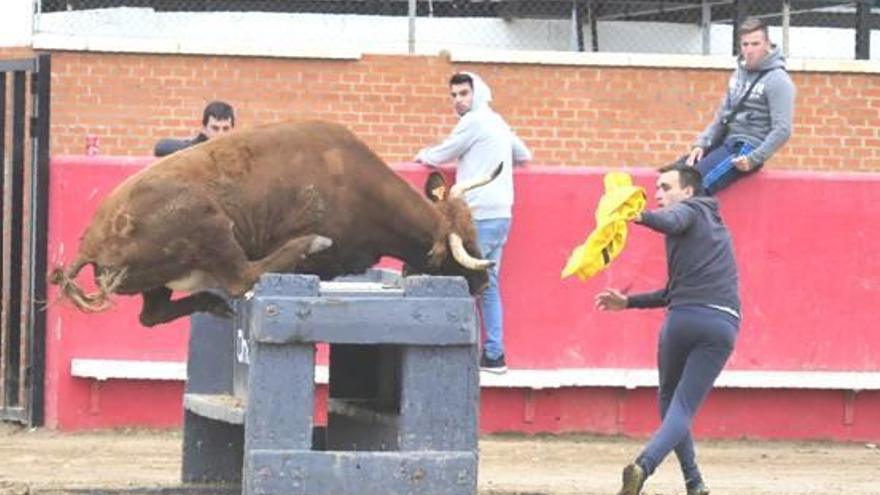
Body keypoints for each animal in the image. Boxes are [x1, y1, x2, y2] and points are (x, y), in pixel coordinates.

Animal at [51, 120, 498, 328]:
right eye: (464, 246)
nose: (482, 282)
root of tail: (91, 243)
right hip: (211, 225)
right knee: (240, 277)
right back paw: (306, 244)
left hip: (156, 281)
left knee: (153, 315)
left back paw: (211, 304)